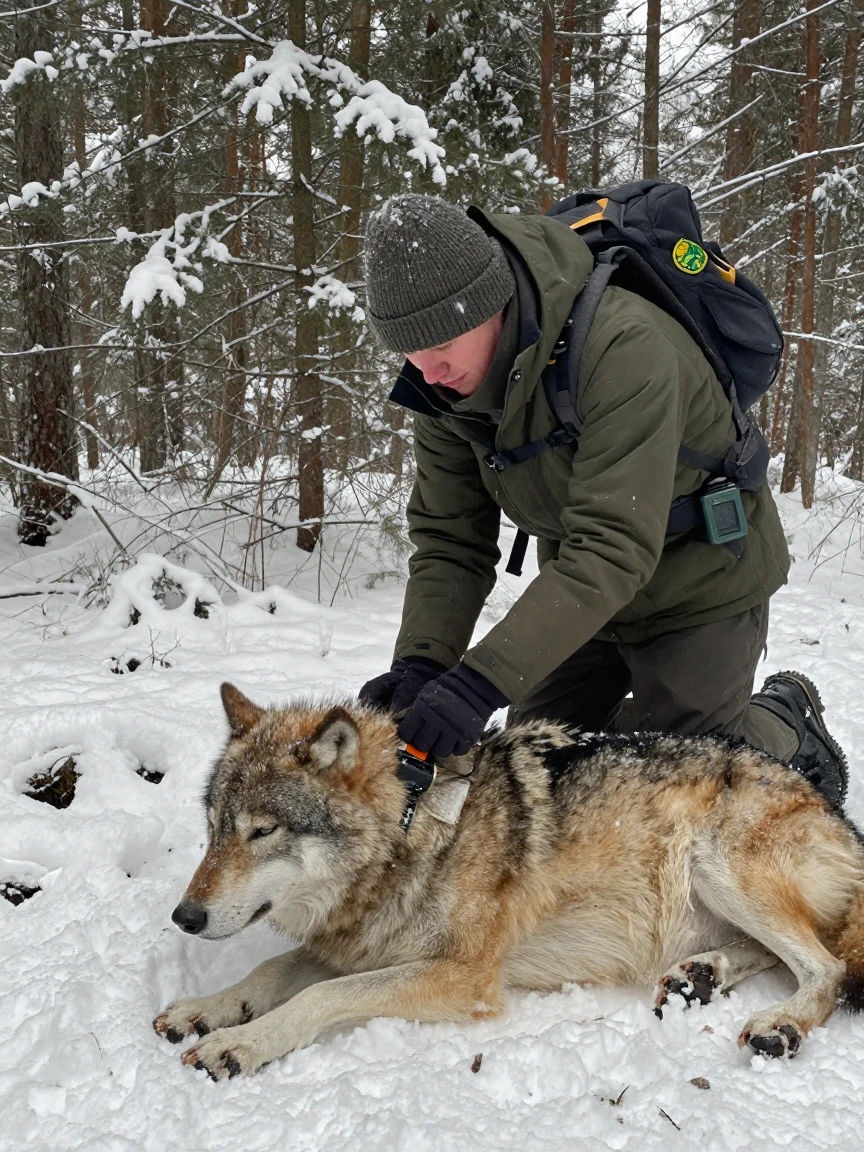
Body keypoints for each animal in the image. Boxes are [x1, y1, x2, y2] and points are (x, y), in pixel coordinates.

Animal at [153, 682, 864, 1079]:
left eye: (262, 832)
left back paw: (780, 1025)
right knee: (781, 954)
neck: (411, 836)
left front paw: (240, 1044)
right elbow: (270, 971)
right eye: (213, 828)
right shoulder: (359, 946)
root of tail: (839, 817)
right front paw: (205, 1010)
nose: (184, 917)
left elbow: (317, 998)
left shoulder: (462, 974)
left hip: (719, 866)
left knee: (827, 968)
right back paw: (702, 974)